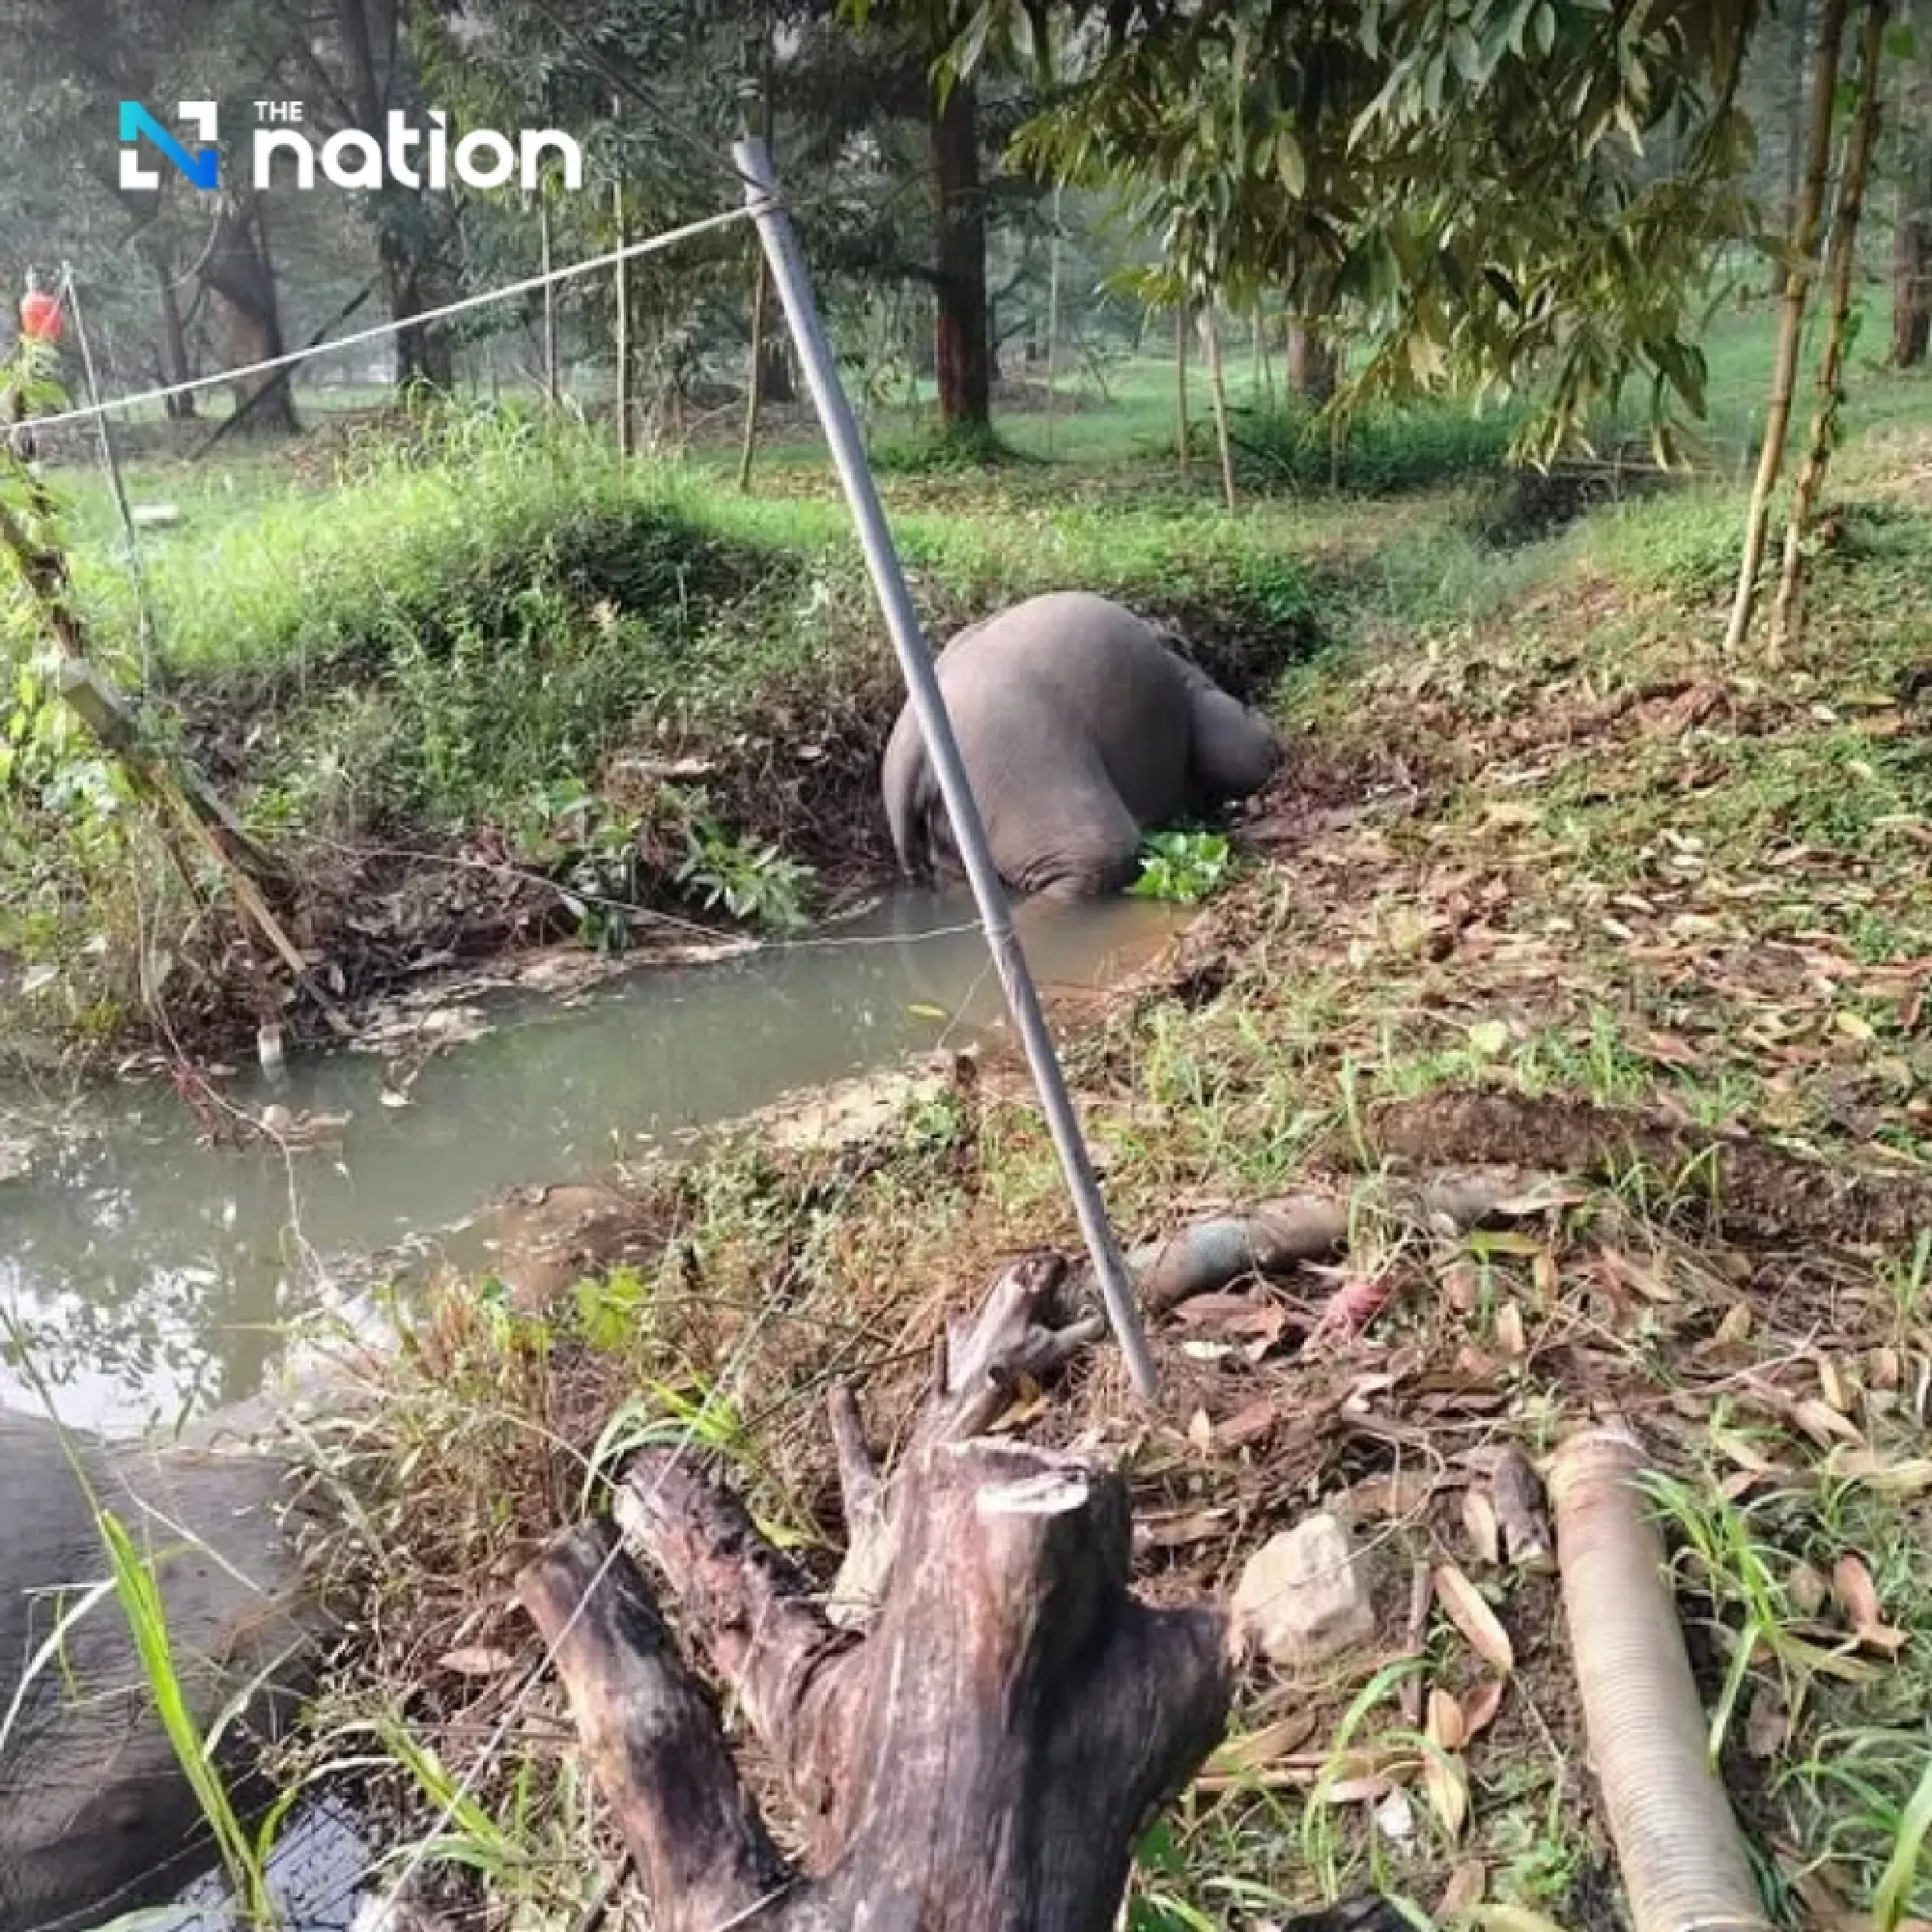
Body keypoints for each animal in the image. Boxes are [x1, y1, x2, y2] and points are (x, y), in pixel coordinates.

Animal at [880, 591, 1282, 900]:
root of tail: (912, 743)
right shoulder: (1187, 684)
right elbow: (1243, 755)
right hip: (1022, 763)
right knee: (1101, 854)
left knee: (959, 879)